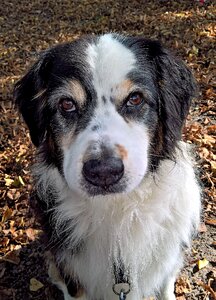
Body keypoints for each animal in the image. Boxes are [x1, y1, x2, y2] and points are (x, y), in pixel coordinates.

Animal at [14, 34, 201, 298]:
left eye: (135, 99)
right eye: (66, 104)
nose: (103, 172)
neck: (117, 211)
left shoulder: (167, 264)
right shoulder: (73, 277)